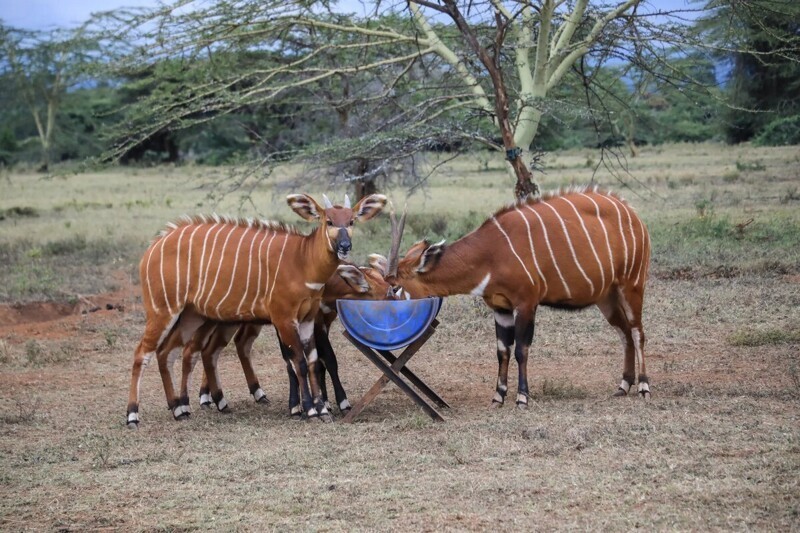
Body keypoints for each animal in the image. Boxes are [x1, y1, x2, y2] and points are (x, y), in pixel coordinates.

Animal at [126, 193, 388, 426]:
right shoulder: (284, 319)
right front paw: (309, 410)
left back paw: (180, 408)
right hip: (163, 311)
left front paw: (322, 409)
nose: (345, 245)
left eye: (351, 221)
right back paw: (133, 415)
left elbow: (314, 361)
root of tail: (153, 247)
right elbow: (299, 362)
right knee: (143, 353)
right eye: (329, 221)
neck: (302, 260)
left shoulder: (307, 320)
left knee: (171, 352)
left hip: (193, 317)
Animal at [376, 185, 648, 406]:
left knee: (637, 332)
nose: (386, 323)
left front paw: (522, 397)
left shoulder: (525, 304)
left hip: (632, 285)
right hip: (607, 298)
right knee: (624, 333)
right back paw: (624, 385)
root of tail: (632, 212)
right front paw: (498, 396)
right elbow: (502, 351)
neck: (490, 251)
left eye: (395, 287)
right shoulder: (501, 308)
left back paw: (644, 386)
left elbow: (521, 350)